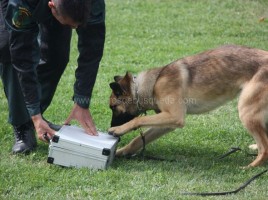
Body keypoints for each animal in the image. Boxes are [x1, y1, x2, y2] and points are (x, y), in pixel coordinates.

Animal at [108, 45, 268, 167]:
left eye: (113, 108)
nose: (109, 126)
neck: (150, 85)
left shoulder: (174, 116)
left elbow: (138, 120)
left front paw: (118, 129)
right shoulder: (167, 123)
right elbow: (137, 140)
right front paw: (121, 152)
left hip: (246, 112)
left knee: (265, 147)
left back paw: (250, 167)